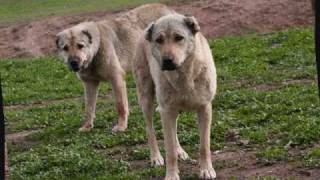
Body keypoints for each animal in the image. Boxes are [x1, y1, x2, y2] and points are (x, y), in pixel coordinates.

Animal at [132, 13, 218, 179]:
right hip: (146, 99)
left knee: (174, 127)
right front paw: (171, 175)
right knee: (150, 129)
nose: (167, 61)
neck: (183, 75)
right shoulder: (166, 111)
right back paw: (156, 157)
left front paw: (206, 170)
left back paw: (180, 151)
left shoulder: (204, 108)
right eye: (159, 40)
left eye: (179, 38)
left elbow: (204, 146)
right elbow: (169, 149)